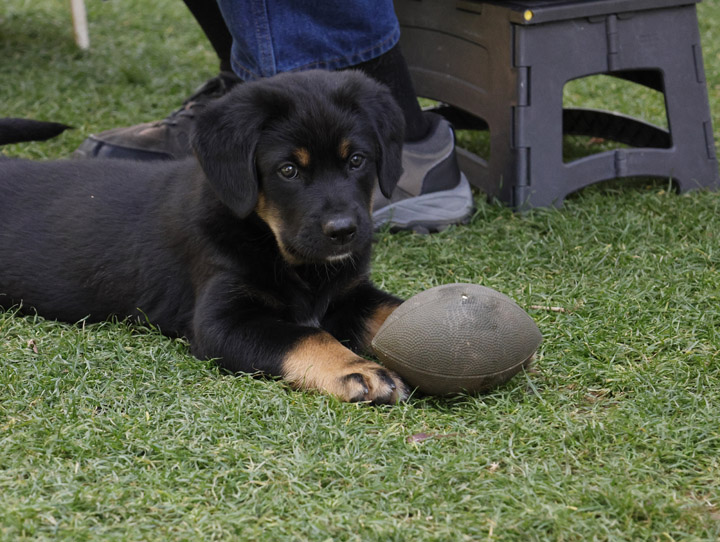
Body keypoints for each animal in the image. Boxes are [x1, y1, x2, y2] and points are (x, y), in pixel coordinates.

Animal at [0, 70, 408, 404]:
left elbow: (396, 311)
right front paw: (357, 370)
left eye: (356, 160)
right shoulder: (221, 322)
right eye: (288, 170)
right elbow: (307, 336)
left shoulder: (350, 293)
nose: (343, 232)